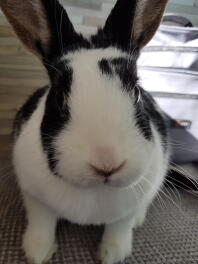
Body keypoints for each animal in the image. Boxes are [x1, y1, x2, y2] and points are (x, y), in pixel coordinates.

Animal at [0, 0, 169, 262]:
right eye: (59, 97)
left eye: (136, 93)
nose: (107, 164)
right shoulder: (34, 198)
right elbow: (42, 222)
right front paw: (37, 253)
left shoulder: (128, 208)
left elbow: (119, 227)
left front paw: (112, 254)